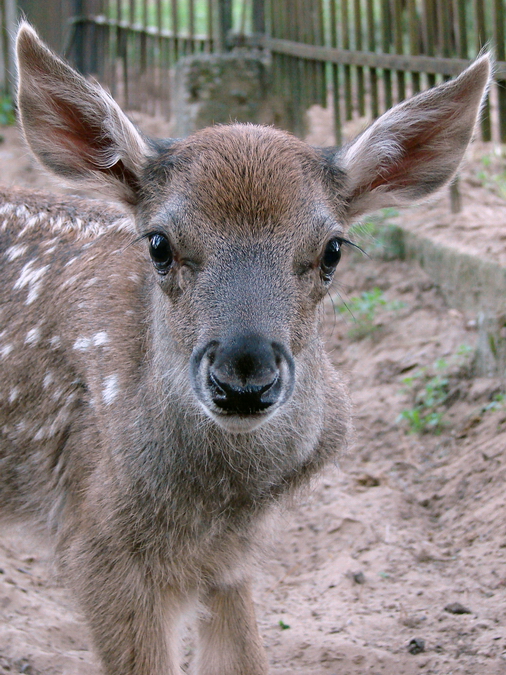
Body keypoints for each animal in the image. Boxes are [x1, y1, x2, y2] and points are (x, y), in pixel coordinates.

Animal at [0, 22, 490, 675]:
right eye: (158, 244)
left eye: (334, 249)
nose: (244, 378)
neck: (219, 499)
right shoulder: (95, 544)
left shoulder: (233, 559)